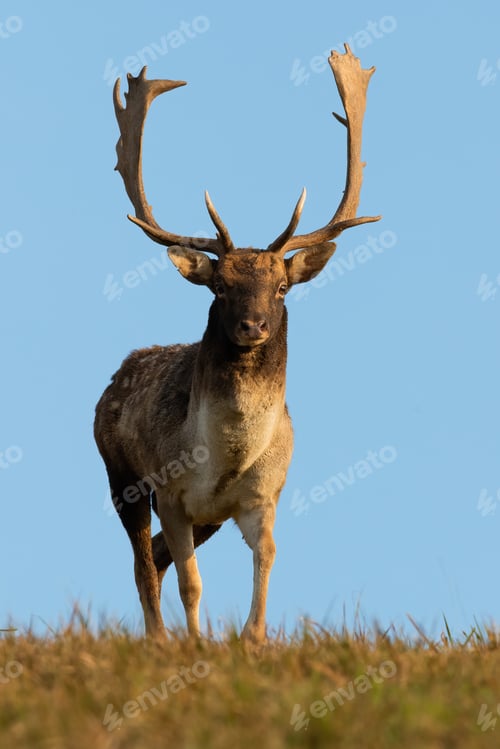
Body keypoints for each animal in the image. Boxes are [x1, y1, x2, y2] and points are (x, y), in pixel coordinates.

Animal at [94, 44, 380, 643]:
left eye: (282, 286)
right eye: (221, 286)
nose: (253, 327)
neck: (224, 459)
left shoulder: (262, 497)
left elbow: (267, 557)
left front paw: (254, 639)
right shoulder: (172, 494)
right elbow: (190, 582)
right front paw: (195, 642)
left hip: (206, 518)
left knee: (154, 558)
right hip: (120, 476)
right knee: (143, 562)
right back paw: (157, 638)